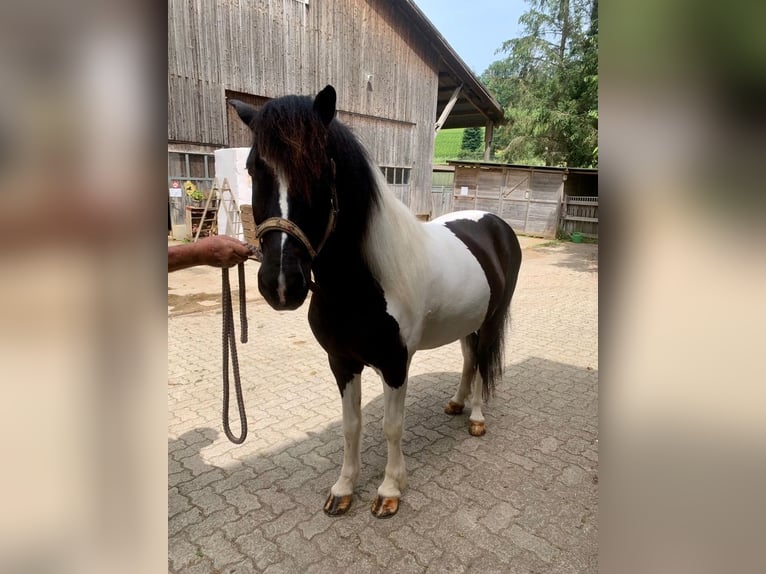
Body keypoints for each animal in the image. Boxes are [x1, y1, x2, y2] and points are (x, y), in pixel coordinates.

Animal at [229, 85, 522, 518]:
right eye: (253, 169)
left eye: (321, 170)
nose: (281, 284)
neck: (361, 283)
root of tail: (495, 224)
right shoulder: (341, 362)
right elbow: (351, 426)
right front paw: (343, 488)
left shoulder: (395, 363)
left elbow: (390, 426)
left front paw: (389, 490)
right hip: (468, 320)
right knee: (470, 360)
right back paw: (456, 403)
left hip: (490, 321)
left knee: (484, 363)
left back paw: (477, 417)